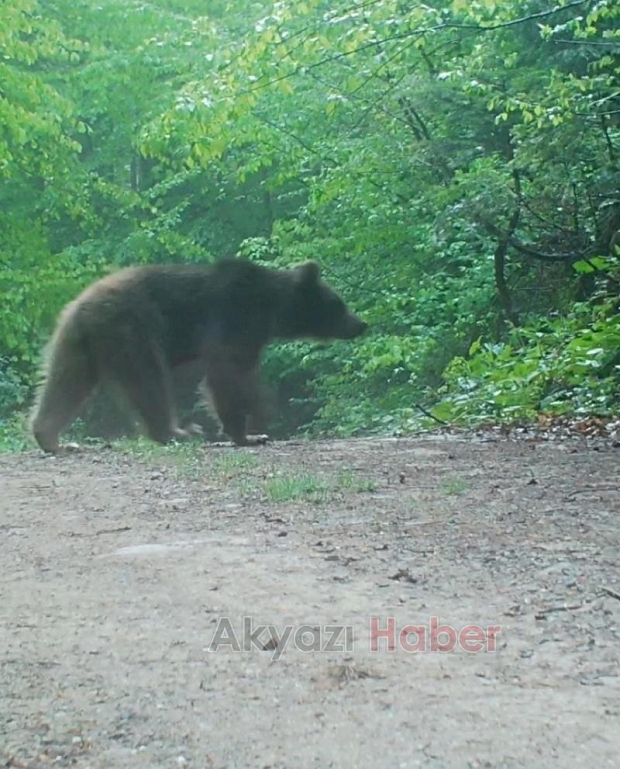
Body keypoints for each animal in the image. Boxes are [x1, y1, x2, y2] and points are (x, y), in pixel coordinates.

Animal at [30, 258, 368, 450]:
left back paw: (52, 437)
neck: (272, 311)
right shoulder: (234, 322)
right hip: (133, 332)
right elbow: (228, 374)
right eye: (339, 304)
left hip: (78, 347)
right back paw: (177, 431)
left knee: (65, 386)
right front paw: (250, 431)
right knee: (149, 382)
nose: (361, 324)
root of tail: (82, 305)